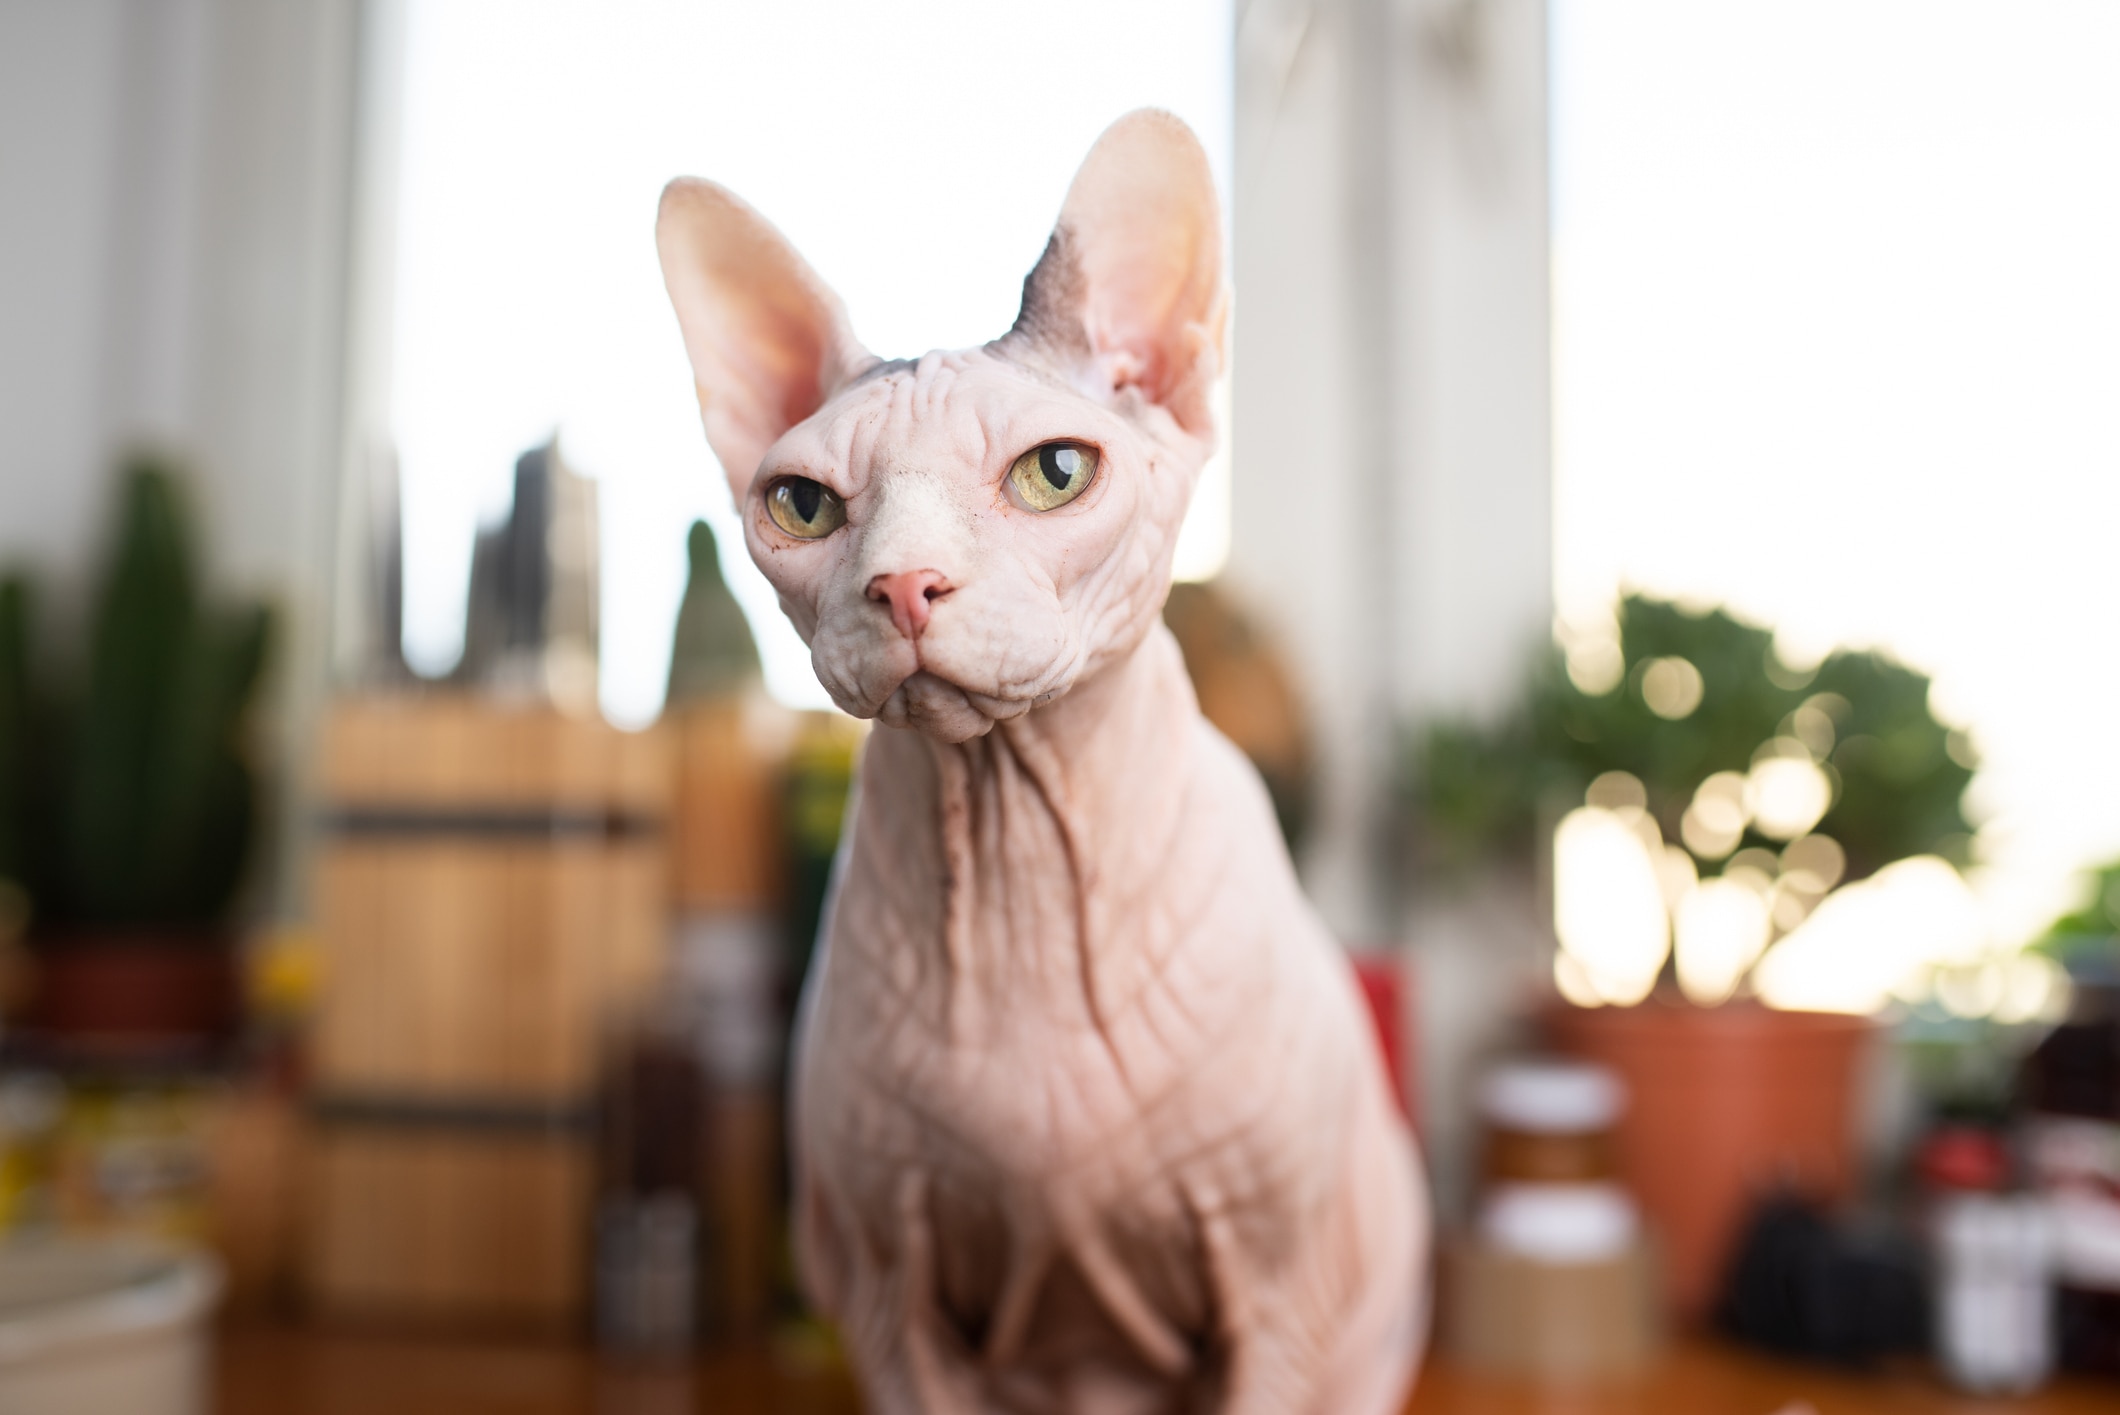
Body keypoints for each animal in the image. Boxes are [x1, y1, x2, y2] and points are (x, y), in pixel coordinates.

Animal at [657, 110, 1424, 1415]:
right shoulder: (889, 1300)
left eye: (1054, 472)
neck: (1008, 824)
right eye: (802, 505)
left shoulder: (1281, 1300)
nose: (901, 583)